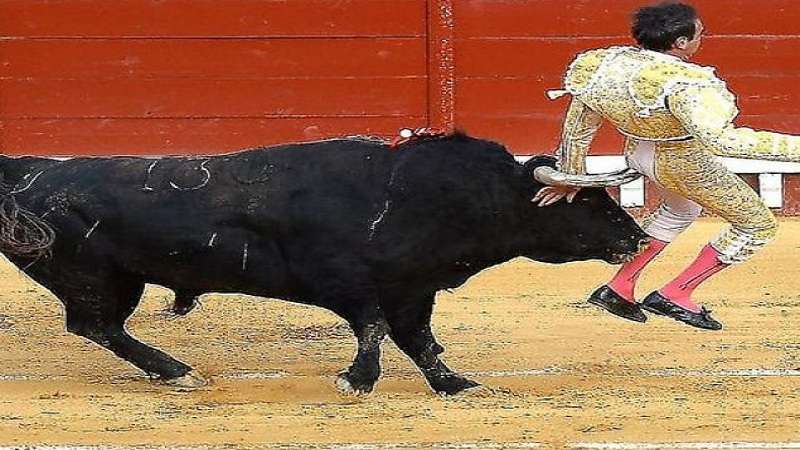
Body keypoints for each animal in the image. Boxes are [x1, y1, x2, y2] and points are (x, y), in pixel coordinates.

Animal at [0, 133, 644, 394]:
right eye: (586, 202)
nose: (636, 238)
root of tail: (24, 171)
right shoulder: (349, 285)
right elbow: (374, 329)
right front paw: (356, 380)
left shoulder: (413, 290)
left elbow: (420, 341)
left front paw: (454, 384)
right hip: (95, 278)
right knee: (96, 325)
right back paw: (177, 371)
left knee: (99, 327)